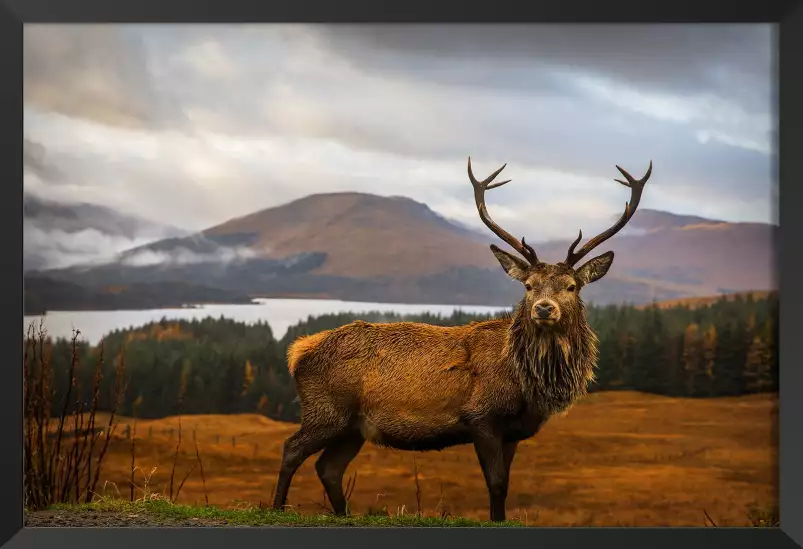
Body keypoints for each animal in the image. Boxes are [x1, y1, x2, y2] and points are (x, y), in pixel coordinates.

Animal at [272, 155, 652, 524]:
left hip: (353, 427)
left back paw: (343, 514)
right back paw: (277, 508)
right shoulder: (481, 417)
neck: (528, 385)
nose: (544, 308)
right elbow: (496, 483)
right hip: (327, 410)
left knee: (328, 468)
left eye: (572, 286)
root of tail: (297, 351)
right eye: (528, 286)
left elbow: (506, 484)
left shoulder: (513, 431)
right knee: (292, 449)